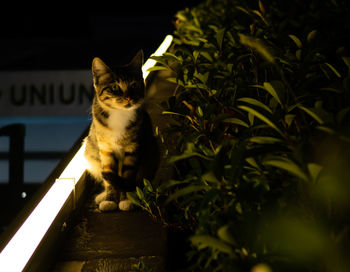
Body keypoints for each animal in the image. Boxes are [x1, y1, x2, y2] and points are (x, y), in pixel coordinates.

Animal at [83, 50, 160, 212]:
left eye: (134, 85)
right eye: (114, 88)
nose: (129, 97)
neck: (119, 113)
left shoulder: (133, 149)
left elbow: (127, 174)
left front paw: (127, 199)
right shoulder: (105, 149)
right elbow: (109, 175)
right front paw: (109, 200)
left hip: (152, 152)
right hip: (90, 152)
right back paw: (102, 196)